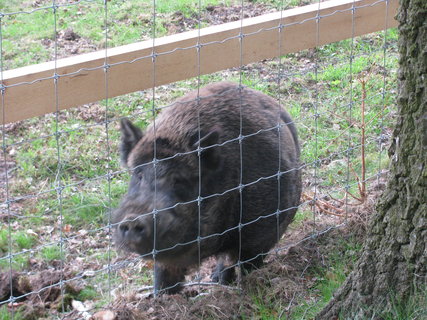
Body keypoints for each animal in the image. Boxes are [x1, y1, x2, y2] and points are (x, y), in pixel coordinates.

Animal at [112, 81, 302, 294]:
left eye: (180, 180)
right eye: (138, 174)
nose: (133, 219)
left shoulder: (262, 231)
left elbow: (246, 263)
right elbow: (163, 278)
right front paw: (163, 297)